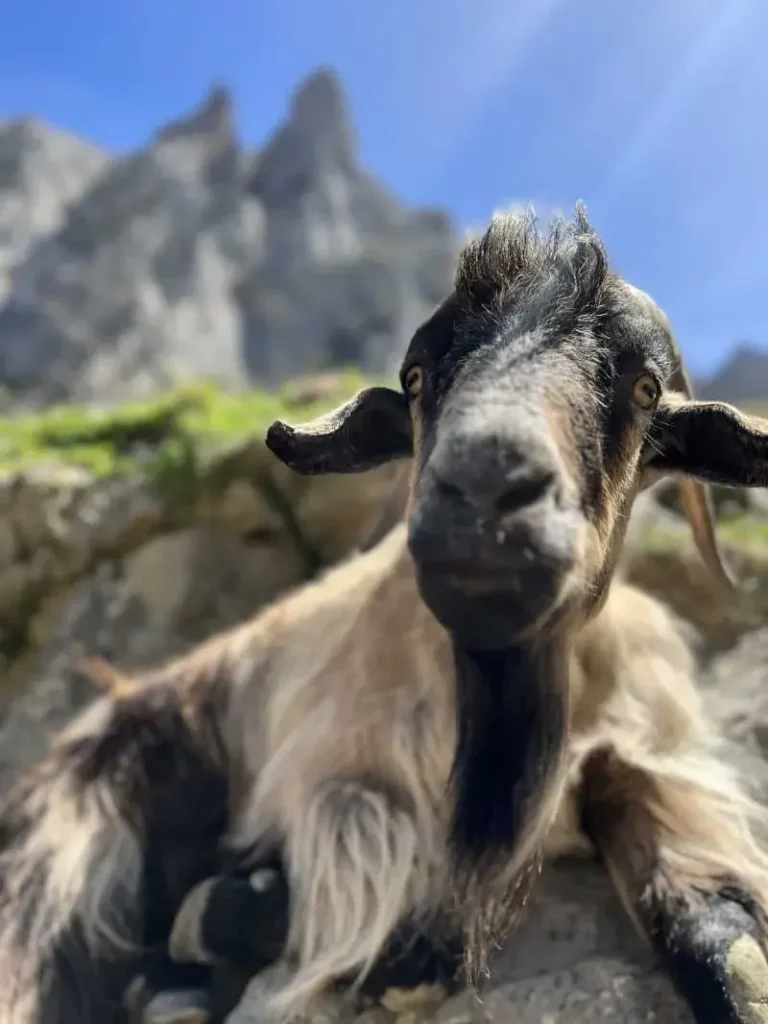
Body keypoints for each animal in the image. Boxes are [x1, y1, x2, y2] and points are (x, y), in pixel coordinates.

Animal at [2, 206, 768, 1024]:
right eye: (417, 377)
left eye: (646, 388)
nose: (485, 489)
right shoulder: (341, 786)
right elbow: (395, 932)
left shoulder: (656, 757)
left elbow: (717, 933)